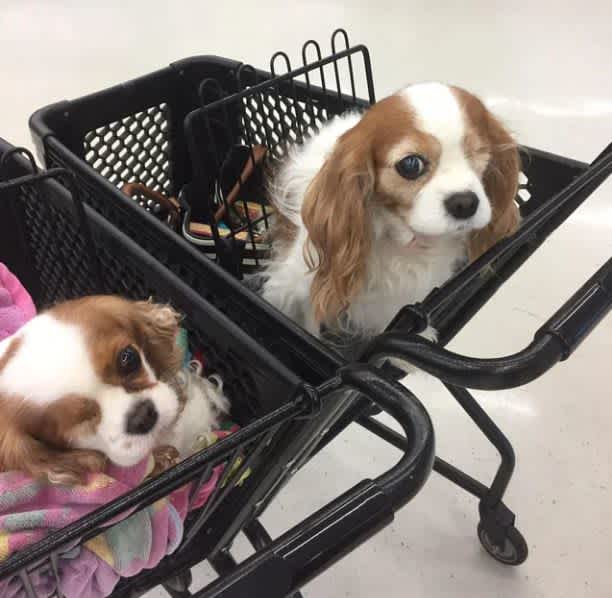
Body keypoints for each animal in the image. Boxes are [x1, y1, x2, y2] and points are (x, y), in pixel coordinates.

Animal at [262, 82, 520, 350]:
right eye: (411, 165)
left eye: (479, 153)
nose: (465, 203)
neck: (404, 237)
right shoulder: (301, 284)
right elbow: (309, 321)